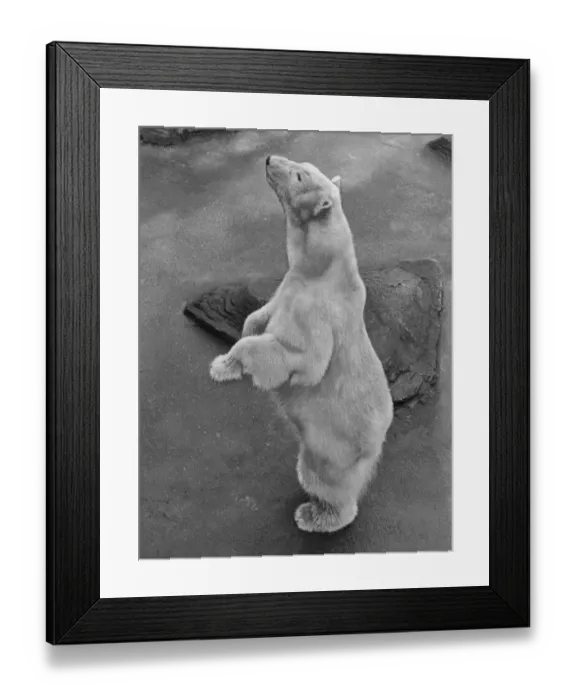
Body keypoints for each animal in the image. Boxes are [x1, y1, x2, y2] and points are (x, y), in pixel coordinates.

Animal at [209, 155, 394, 533]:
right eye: (302, 165)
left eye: (298, 174)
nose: (269, 158)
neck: (322, 266)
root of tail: (380, 437)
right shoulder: (289, 284)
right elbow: (260, 316)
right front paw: (232, 352)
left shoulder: (316, 309)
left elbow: (304, 358)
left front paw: (229, 365)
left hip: (334, 447)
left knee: (322, 479)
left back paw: (315, 515)